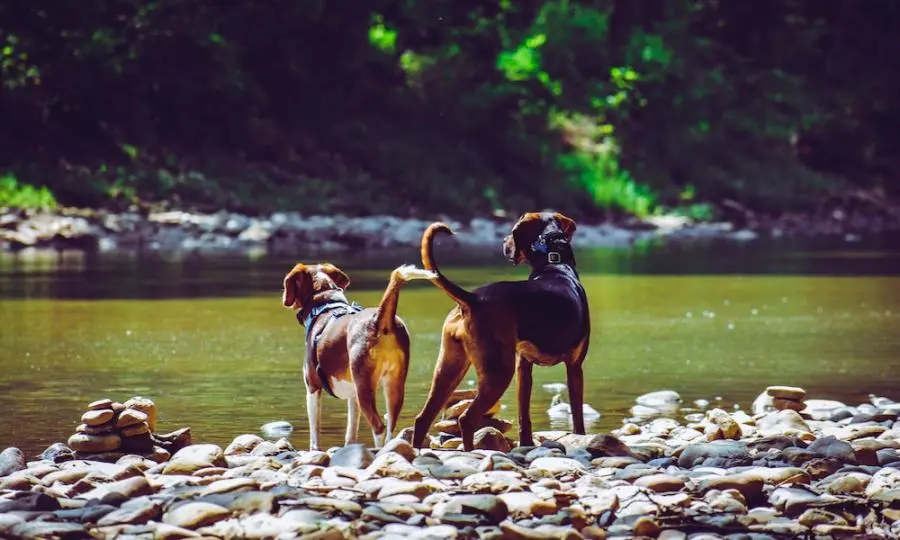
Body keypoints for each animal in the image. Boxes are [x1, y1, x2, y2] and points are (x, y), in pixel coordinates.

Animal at [282, 264, 436, 450]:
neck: (325, 304)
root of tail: (379, 320)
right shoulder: (352, 395)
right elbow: (351, 431)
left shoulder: (312, 388)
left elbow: (315, 433)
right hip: (394, 386)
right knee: (391, 426)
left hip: (365, 389)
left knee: (379, 427)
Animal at [414, 213, 592, 450]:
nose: (503, 242)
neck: (555, 264)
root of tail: (473, 298)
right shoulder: (574, 366)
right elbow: (577, 415)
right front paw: (580, 437)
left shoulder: (523, 366)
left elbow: (524, 416)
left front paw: (526, 443)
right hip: (498, 372)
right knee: (466, 419)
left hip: (449, 368)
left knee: (423, 418)